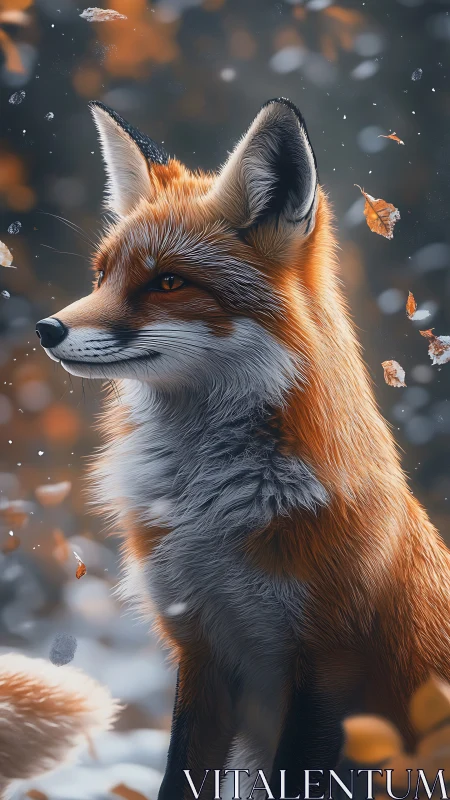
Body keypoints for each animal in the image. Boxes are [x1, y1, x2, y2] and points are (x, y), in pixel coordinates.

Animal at [35, 97, 450, 800]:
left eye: (168, 282)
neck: (212, 515)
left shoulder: (326, 668)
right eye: (102, 275)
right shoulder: (202, 649)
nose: (47, 328)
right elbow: (178, 776)